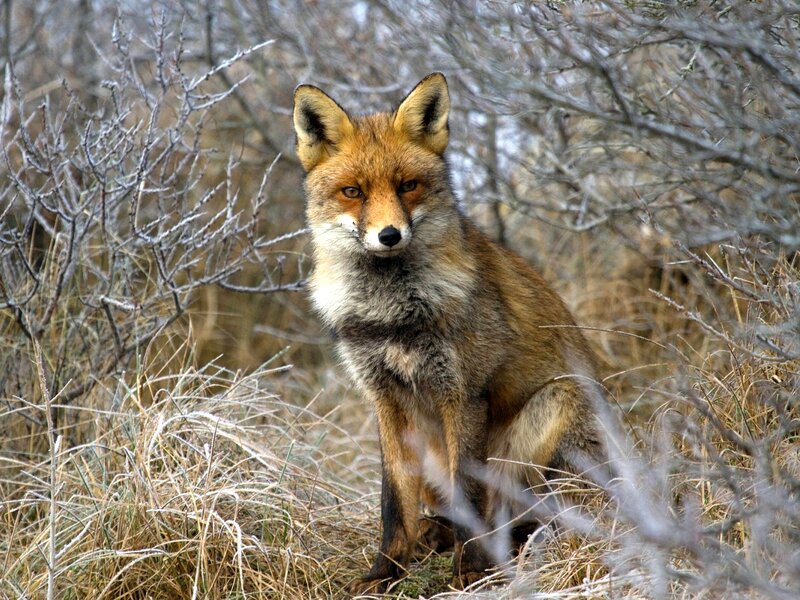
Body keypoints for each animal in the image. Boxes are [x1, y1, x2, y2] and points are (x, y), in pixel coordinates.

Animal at [292, 73, 606, 594]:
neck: (392, 316)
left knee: (527, 515)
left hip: (554, 408)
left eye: (409, 186)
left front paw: (471, 571)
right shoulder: (386, 400)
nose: (389, 236)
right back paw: (434, 536)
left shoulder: (463, 393)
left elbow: (469, 490)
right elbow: (393, 503)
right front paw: (385, 572)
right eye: (353, 191)